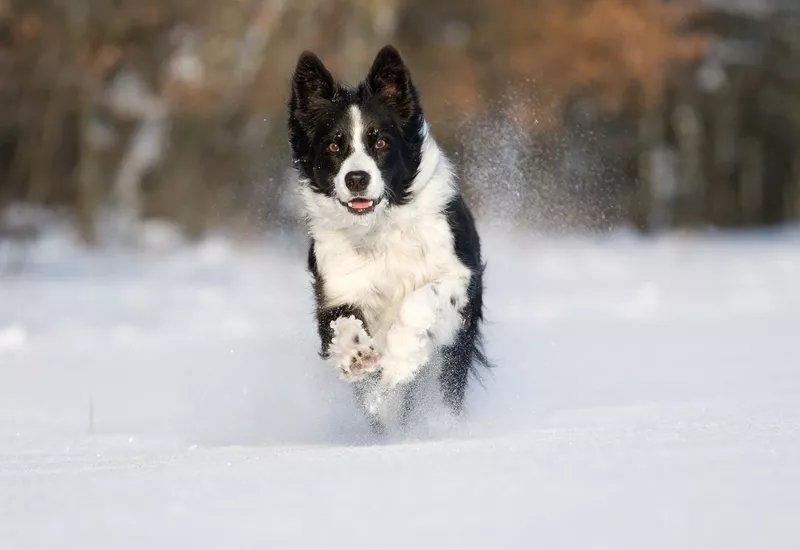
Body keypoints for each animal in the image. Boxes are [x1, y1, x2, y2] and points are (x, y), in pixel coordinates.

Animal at [288, 45, 488, 436]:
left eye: (380, 141)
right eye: (333, 146)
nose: (357, 178)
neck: (378, 228)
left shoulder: (460, 273)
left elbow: (420, 300)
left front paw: (400, 358)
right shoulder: (335, 286)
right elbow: (339, 322)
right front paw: (355, 354)